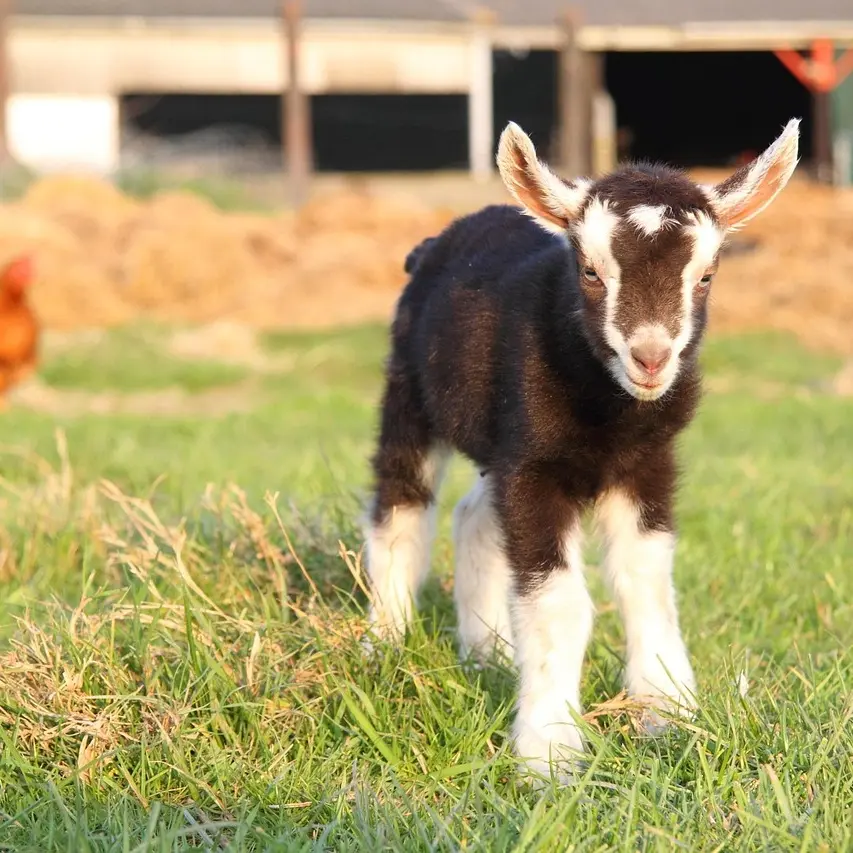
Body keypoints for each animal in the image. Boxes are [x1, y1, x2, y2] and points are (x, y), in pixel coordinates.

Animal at [362, 119, 800, 782]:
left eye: (705, 276)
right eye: (591, 272)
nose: (651, 358)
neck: (609, 416)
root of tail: (438, 241)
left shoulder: (647, 465)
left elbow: (647, 581)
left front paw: (668, 711)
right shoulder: (534, 469)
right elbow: (560, 603)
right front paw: (550, 752)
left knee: (474, 518)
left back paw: (486, 653)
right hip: (410, 390)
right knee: (401, 508)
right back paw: (383, 645)